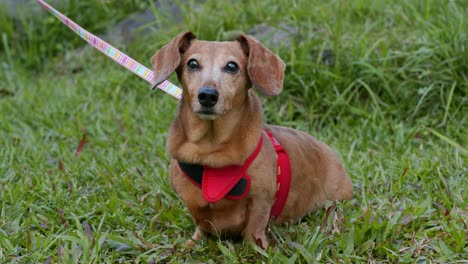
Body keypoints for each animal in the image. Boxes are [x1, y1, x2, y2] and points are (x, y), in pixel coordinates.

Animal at [152, 32, 352, 249]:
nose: (207, 96)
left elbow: (255, 228)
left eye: (232, 66)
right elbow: (201, 225)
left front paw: (258, 249)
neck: (211, 150)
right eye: (192, 63)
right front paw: (191, 244)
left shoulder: (260, 201)